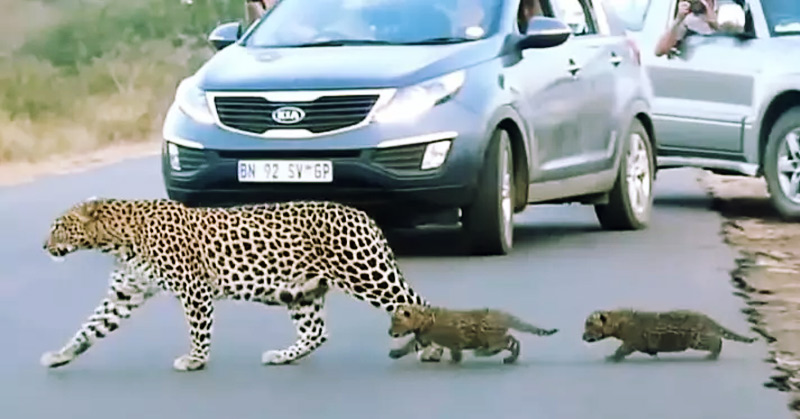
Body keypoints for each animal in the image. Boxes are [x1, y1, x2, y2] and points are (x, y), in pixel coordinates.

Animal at [41, 197, 445, 371]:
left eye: (59, 226)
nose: (43, 246)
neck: (117, 239)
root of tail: (363, 215)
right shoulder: (124, 293)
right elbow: (90, 327)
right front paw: (61, 355)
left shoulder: (193, 288)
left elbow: (198, 330)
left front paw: (195, 360)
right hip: (302, 291)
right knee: (316, 332)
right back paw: (282, 356)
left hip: (368, 275)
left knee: (417, 304)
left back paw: (433, 350)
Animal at [387, 304, 558, 364]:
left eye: (395, 322)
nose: (389, 331)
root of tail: (502, 315)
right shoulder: (423, 340)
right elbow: (409, 345)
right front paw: (396, 353)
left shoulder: (453, 340)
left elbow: (455, 352)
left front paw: (455, 361)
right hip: (495, 336)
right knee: (513, 341)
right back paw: (510, 358)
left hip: (490, 336)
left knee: (507, 342)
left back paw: (483, 352)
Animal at [581, 308, 758, 362]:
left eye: (589, 325)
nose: (583, 337)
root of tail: (708, 319)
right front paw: (652, 353)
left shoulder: (632, 341)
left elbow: (622, 350)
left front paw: (612, 357)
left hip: (697, 339)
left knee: (717, 341)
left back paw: (712, 355)